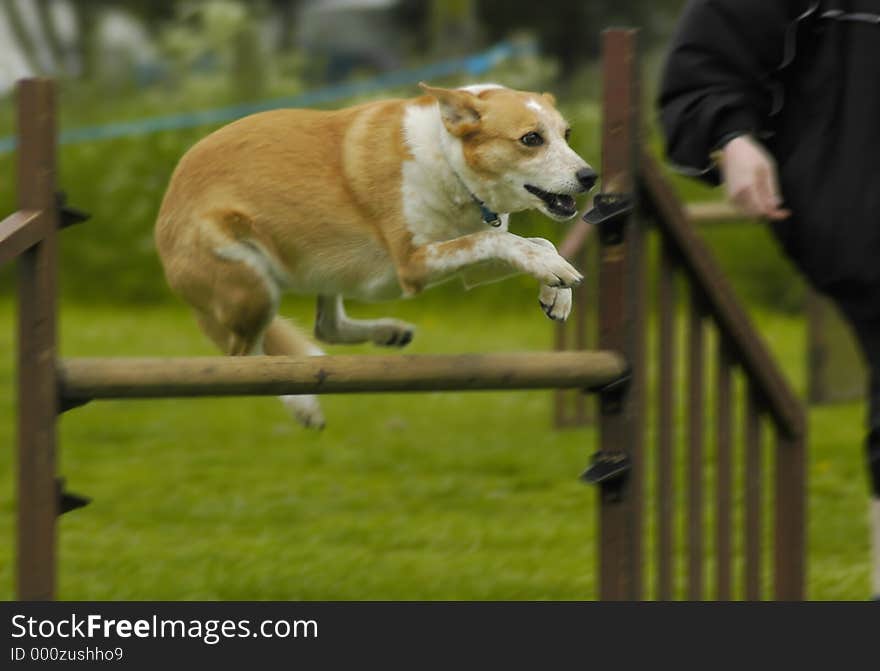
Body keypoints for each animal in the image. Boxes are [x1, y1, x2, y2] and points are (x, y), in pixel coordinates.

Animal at [156, 82, 600, 426]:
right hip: (252, 285)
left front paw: (556, 289)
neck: (447, 159)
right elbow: (503, 242)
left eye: (567, 134)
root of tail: (163, 218)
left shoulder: (470, 265)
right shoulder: (414, 263)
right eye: (531, 139)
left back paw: (388, 332)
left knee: (325, 327)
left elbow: (534, 243)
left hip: (323, 268)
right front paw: (553, 273)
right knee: (245, 359)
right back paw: (302, 405)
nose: (590, 177)